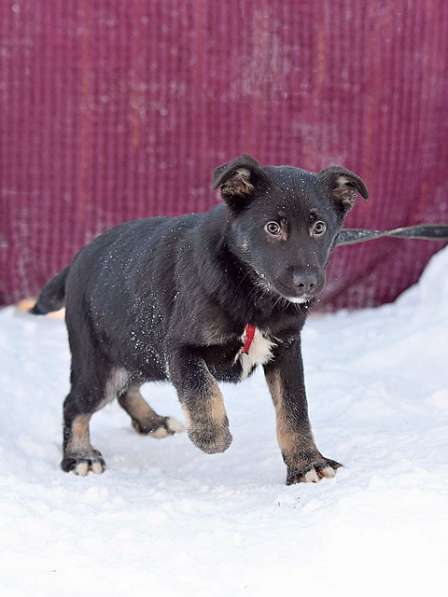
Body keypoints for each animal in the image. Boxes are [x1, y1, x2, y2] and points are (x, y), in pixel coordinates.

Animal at [31, 155, 368, 484]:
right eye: (272, 227)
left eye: (320, 227)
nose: (307, 283)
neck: (251, 289)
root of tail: (78, 259)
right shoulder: (179, 348)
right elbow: (201, 388)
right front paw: (211, 436)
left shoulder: (286, 349)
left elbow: (295, 411)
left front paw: (307, 463)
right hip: (101, 365)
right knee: (75, 404)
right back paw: (79, 456)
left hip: (139, 348)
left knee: (127, 389)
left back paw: (152, 422)